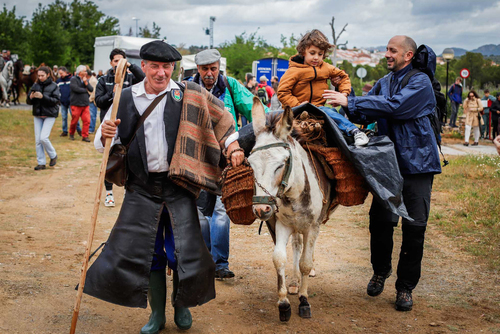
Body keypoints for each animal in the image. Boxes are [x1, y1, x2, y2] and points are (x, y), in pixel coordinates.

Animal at [248, 98, 334, 322]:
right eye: (250, 164)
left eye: (281, 164)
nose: (261, 209)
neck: (293, 193)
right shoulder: (282, 224)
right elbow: (279, 258)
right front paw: (284, 303)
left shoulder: (313, 227)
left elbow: (306, 262)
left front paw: (304, 301)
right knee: (296, 245)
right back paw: (294, 282)